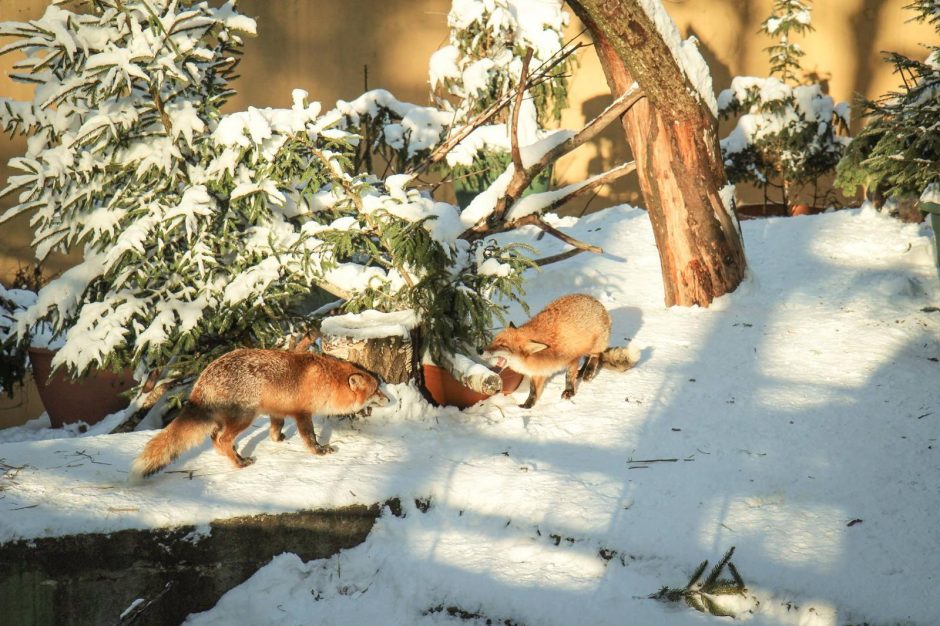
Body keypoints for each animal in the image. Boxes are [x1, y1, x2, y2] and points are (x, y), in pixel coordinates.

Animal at [126, 348, 388, 480]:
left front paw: (278, 439)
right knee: (221, 439)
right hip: (245, 417)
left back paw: (236, 455)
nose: (389, 399)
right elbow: (310, 437)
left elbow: (275, 428)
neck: (327, 382)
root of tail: (202, 379)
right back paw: (240, 462)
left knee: (215, 439)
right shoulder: (302, 413)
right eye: (377, 390)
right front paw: (319, 451)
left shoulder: (277, 410)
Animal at [484, 294, 632, 408]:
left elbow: (568, 377)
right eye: (493, 340)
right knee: (587, 357)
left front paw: (569, 392)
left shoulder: (572, 359)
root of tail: (597, 302)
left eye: (502, 345)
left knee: (596, 355)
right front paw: (527, 406)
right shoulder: (538, 372)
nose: (480, 350)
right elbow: (533, 391)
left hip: (595, 345)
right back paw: (582, 371)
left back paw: (588, 372)